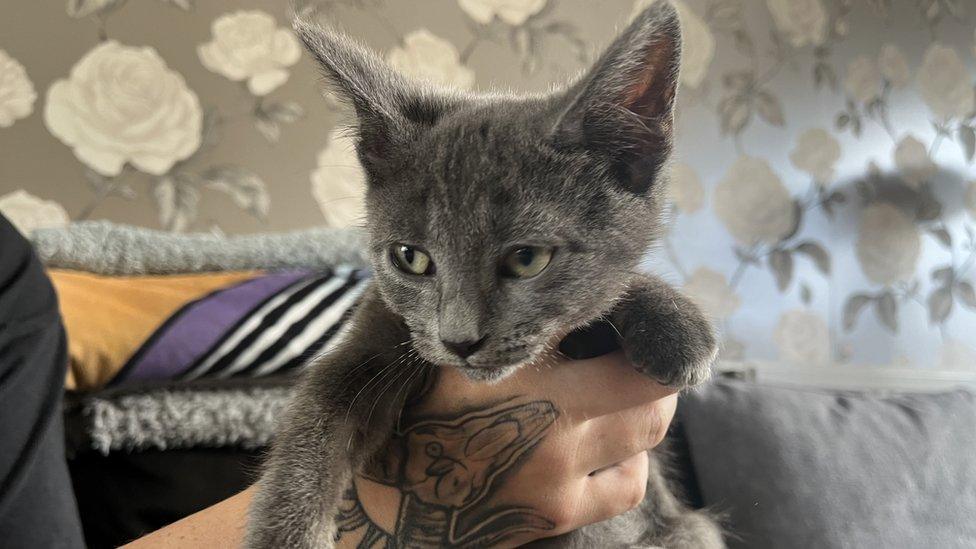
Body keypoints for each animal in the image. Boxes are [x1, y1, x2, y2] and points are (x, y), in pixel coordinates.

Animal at [250, 2, 724, 544]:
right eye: (410, 257)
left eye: (526, 258)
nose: (459, 340)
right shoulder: (374, 337)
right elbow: (316, 425)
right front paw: (285, 535)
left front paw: (674, 322)